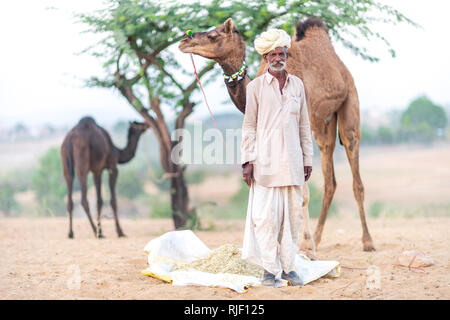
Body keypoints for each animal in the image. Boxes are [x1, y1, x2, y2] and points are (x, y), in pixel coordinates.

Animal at [179, 18, 376, 252]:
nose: (183, 41)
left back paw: (367, 242)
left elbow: (303, 194)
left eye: (213, 36)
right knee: (330, 179)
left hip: (349, 106)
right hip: (324, 125)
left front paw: (303, 244)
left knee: (355, 173)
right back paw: (318, 238)